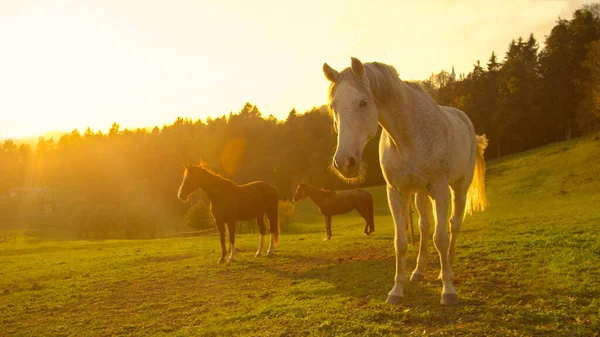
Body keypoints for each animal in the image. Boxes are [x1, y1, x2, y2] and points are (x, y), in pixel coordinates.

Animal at [324, 57, 488, 304]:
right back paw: (419, 271)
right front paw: (396, 290)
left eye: (363, 102)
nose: (344, 162)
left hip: (459, 189)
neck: (408, 136)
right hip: (420, 194)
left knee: (453, 225)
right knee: (424, 226)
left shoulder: (440, 189)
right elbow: (400, 242)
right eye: (333, 107)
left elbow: (441, 238)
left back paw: (448, 269)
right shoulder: (396, 192)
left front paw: (448, 290)